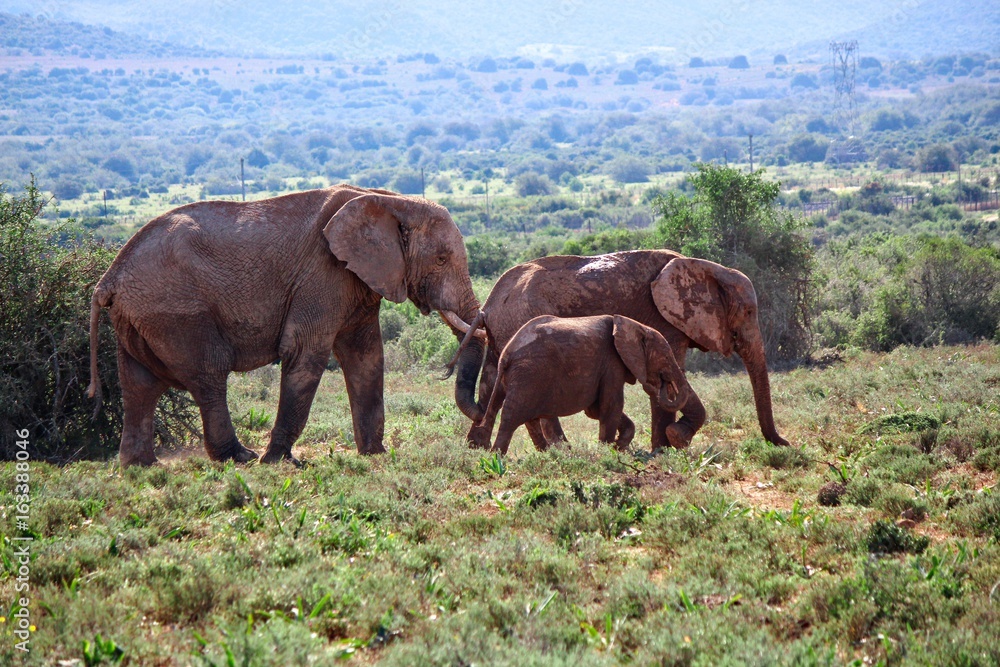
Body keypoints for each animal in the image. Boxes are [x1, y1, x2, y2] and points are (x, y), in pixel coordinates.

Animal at [87, 185, 486, 466]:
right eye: (441, 258)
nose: (477, 429)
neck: (392, 201)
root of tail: (109, 278)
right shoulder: (322, 274)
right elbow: (305, 353)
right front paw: (281, 461)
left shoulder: (356, 281)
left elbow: (366, 357)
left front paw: (376, 455)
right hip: (177, 313)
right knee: (208, 375)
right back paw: (240, 458)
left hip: (139, 317)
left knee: (138, 385)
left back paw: (140, 466)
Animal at [467, 314, 693, 455]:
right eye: (665, 357)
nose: (660, 384)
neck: (633, 325)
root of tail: (507, 353)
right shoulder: (612, 363)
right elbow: (610, 406)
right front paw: (607, 452)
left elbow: (596, 410)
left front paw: (618, 447)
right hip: (528, 374)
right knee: (511, 416)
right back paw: (498, 458)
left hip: (513, 378)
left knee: (501, 409)